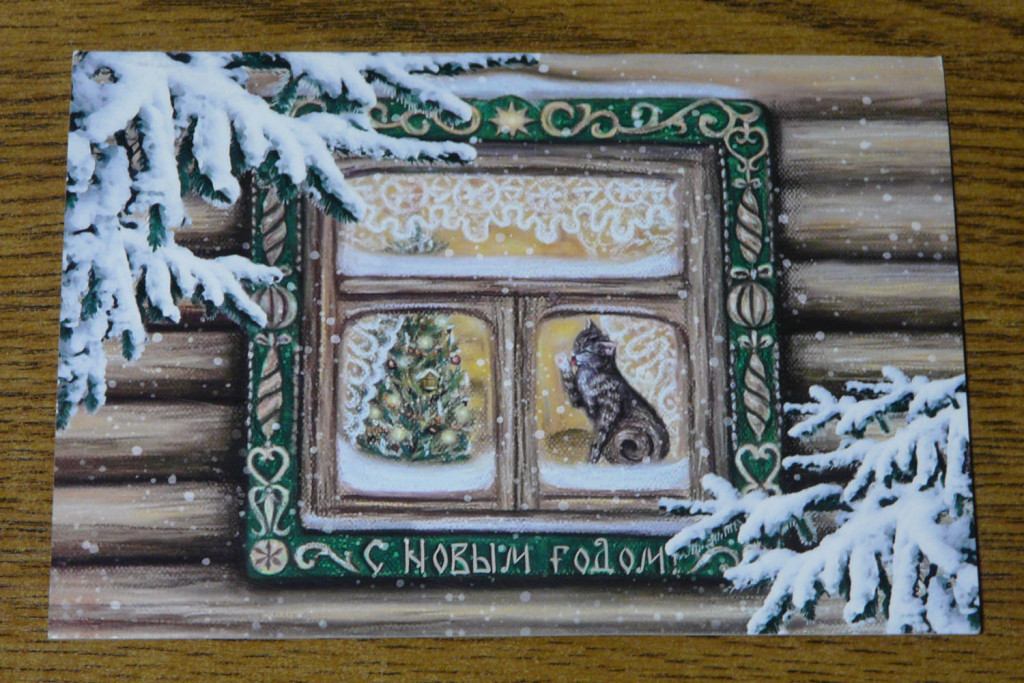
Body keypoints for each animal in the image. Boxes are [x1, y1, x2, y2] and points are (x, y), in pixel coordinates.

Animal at [556, 320, 670, 465]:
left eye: (587, 350)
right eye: (577, 342)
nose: (574, 355)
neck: (589, 374)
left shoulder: (608, 413)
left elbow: (598, 439)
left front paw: (591, 461)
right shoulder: (579, 399)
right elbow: (571, 386)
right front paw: (561, 360)